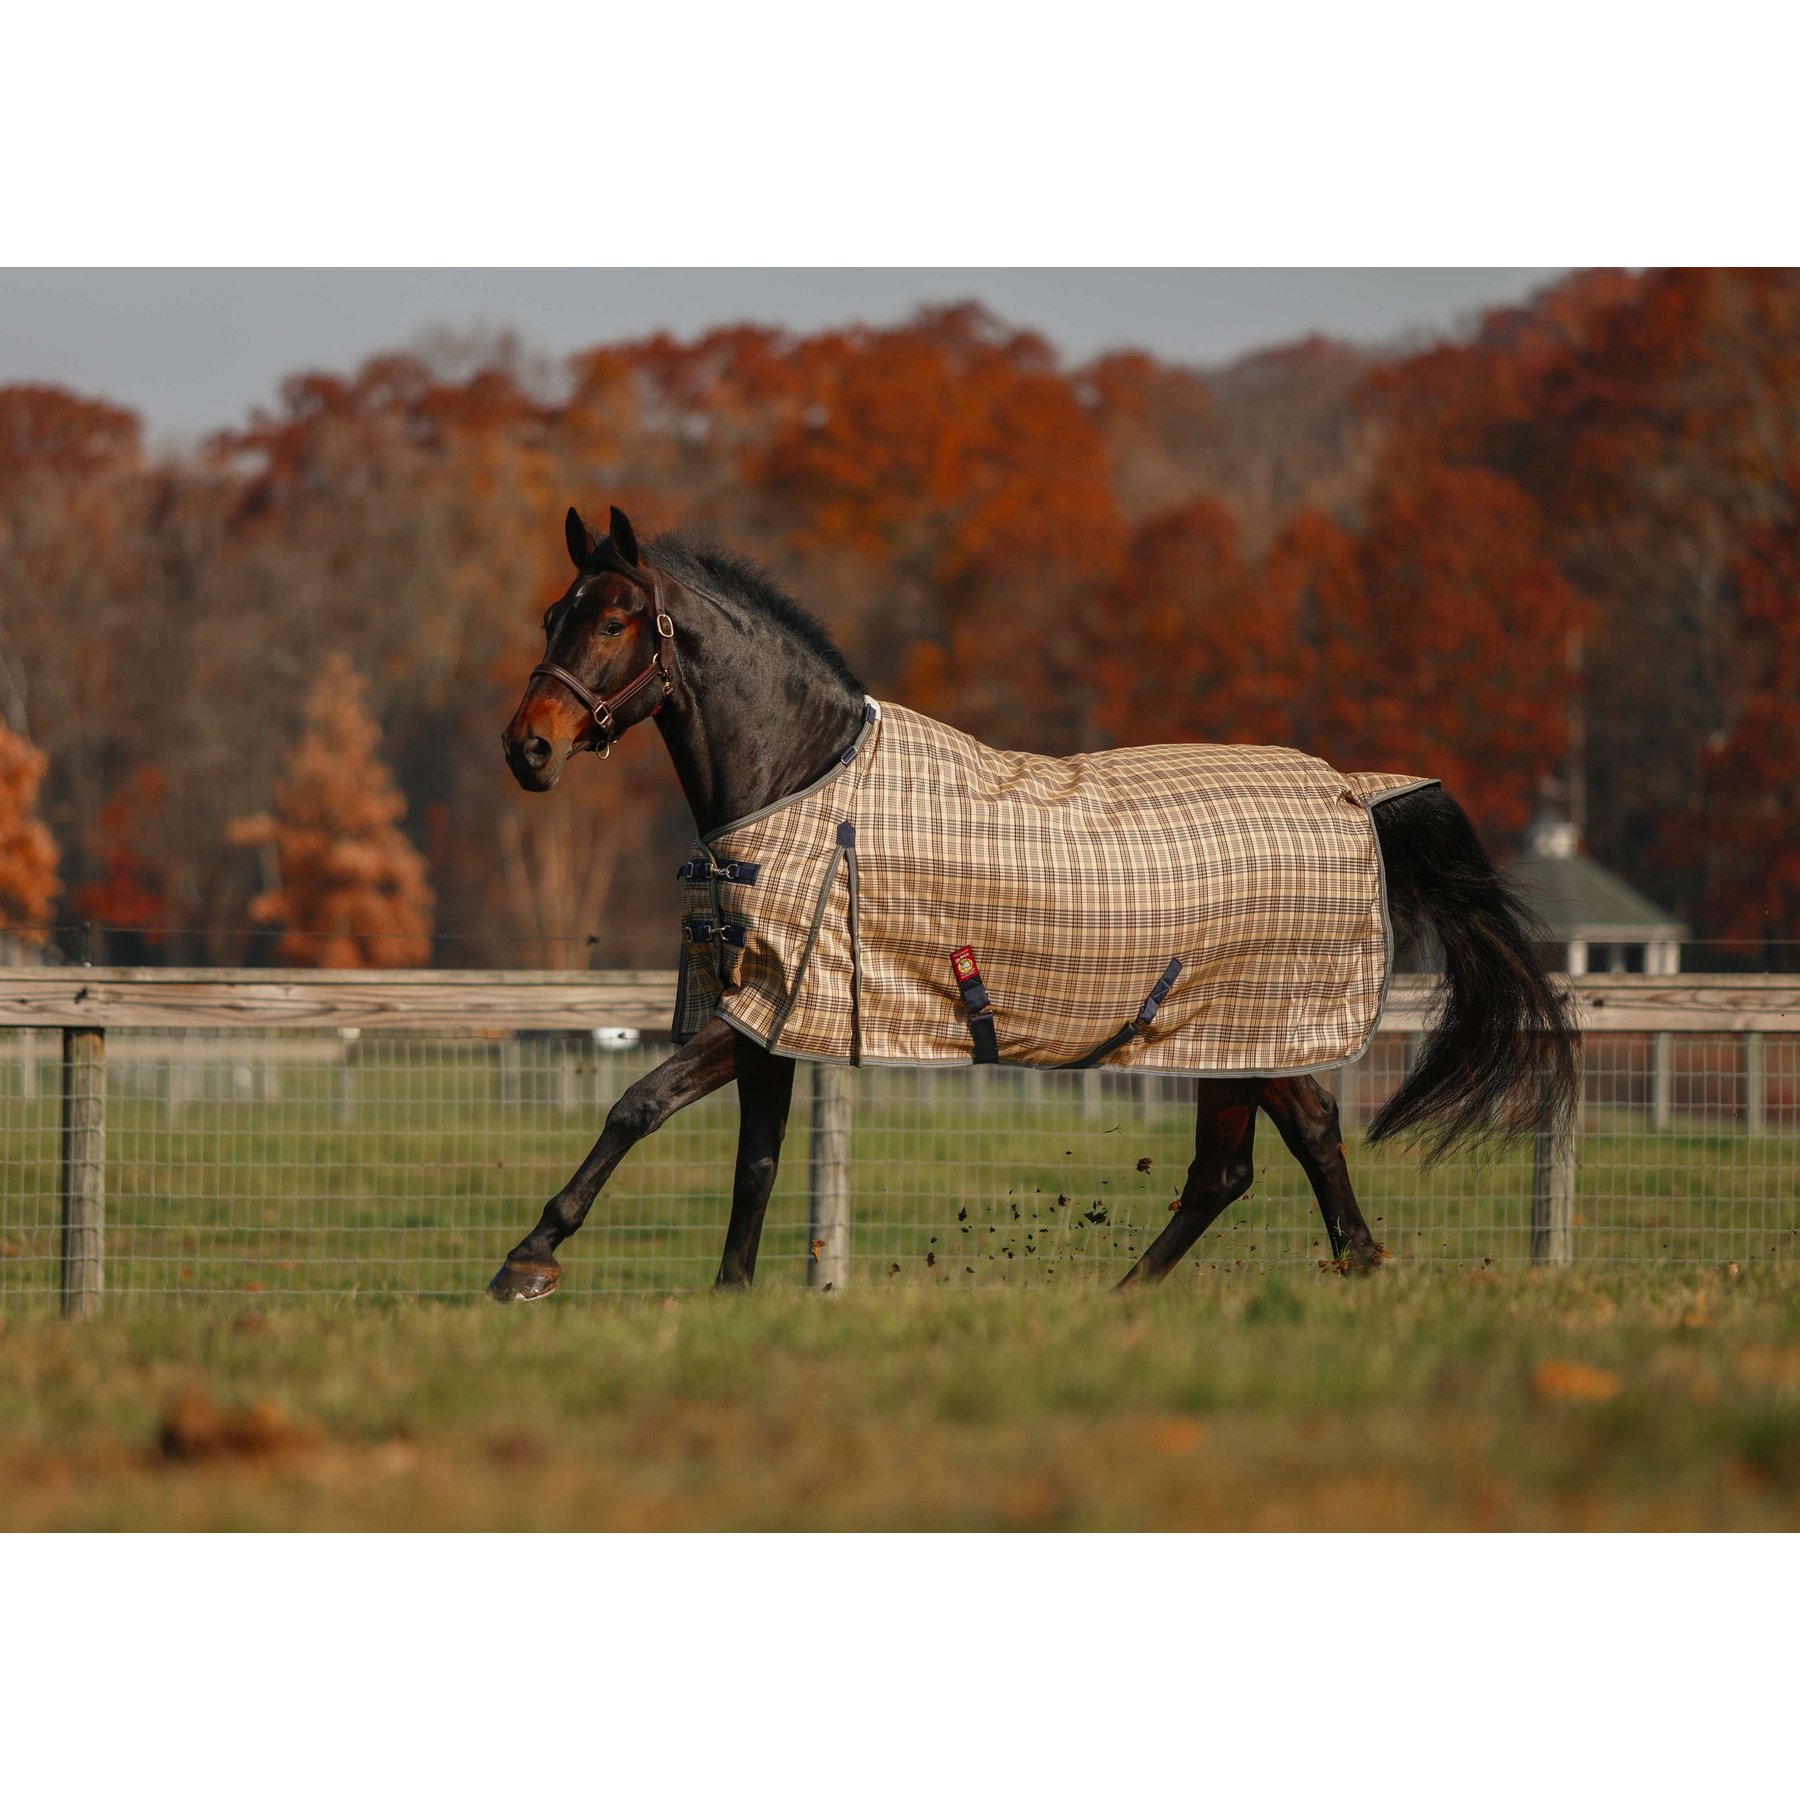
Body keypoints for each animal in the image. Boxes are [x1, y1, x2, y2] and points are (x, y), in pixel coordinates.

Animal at [489, 505, 1580, 1301]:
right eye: (550, 615)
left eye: (616, 620)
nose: (527, 748)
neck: (807, 781)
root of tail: (1353, 792)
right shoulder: (772, 1015)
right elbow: (752, 1162)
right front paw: (732, 1295)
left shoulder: (766, 1010)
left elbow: (637, 1105)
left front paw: (529, 1259)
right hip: (1222, 1039)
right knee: (1237, 1167)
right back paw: (1152, 1296)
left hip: (1252, 1028)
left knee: (1294, 1139)